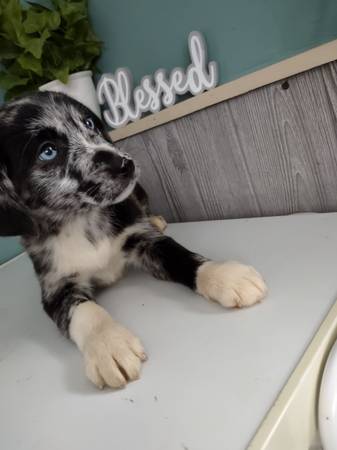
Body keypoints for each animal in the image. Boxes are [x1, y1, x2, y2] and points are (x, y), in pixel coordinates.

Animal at [0, 90, 268, 386]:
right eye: (48, 151)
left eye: (89, 123)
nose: (124, 163)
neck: (81, 221)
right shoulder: (55, 286)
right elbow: (83, 311)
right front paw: (107, 343)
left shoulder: (140, 238)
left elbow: (181, 256)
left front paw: (223, 274)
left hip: (139, 192)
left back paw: (156, 219)